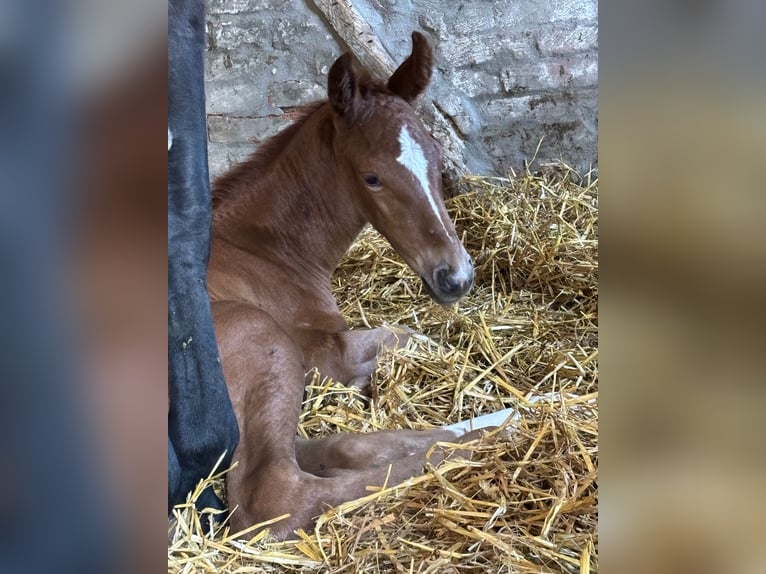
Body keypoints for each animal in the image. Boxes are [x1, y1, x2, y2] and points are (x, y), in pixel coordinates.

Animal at [207, 33, 504, 544]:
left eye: (437, 160)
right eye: (372, 177)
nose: (456, 276)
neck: (262, 247)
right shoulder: (325, 355)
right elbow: (412, 338)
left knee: (336, 448)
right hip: (260, 333)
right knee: (279, 495)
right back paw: (481, 442)